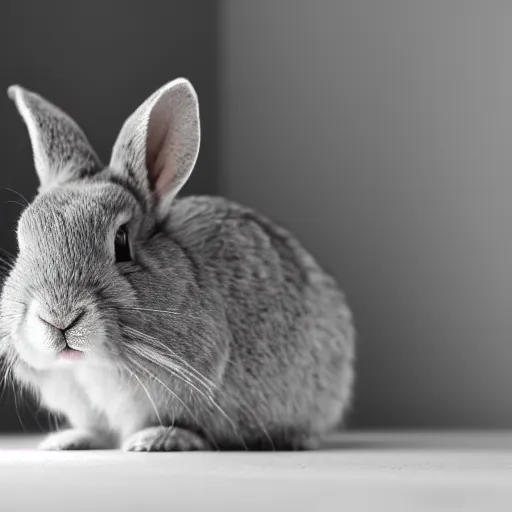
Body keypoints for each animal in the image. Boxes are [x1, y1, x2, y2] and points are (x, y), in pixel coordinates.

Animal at [0, 78, 354, 450]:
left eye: (122, 242)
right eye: (22, 239)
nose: (59, 316)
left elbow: (180, 423)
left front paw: (154, 440)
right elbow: (96, 429)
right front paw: (67, 441)